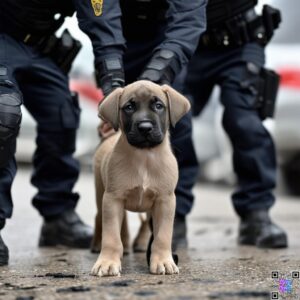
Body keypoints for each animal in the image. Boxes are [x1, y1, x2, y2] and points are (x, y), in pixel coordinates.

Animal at [91, 80, 190, 276]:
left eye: (159, 106)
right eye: (129, 107)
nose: (145, 127)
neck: (144, 157)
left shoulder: (165, 201)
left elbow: (162, 236)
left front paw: (163, 261)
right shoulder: (112, 198)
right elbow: (111, 236)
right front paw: (107, 262)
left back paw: (140, 243)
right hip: (101, 193)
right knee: (100, 218)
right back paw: (99, 244)